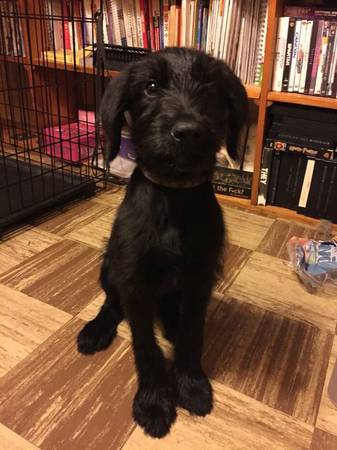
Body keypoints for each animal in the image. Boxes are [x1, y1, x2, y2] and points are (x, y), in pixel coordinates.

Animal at [77, 47, 247, 438]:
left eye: (210, 87)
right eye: (151, 87)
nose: (189, 132)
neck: (174, 196)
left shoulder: (200, 279)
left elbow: (193, 334)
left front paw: (191, 384)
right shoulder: (135, 284)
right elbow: (145, 347)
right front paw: (154, 401)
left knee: (171, 308)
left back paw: (171, 322)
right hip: (110, 266)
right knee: (111, 304)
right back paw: (97, 329)